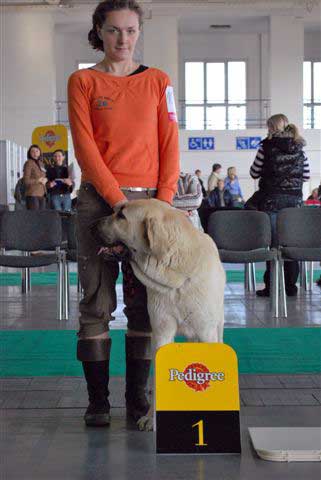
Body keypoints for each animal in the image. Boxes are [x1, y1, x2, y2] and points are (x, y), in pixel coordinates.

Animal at [94, 199, 225, 432]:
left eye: (122, 216)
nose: (92, 225)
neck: (176, 278)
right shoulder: (161, 331)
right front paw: (152, 419)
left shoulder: (206, 331)